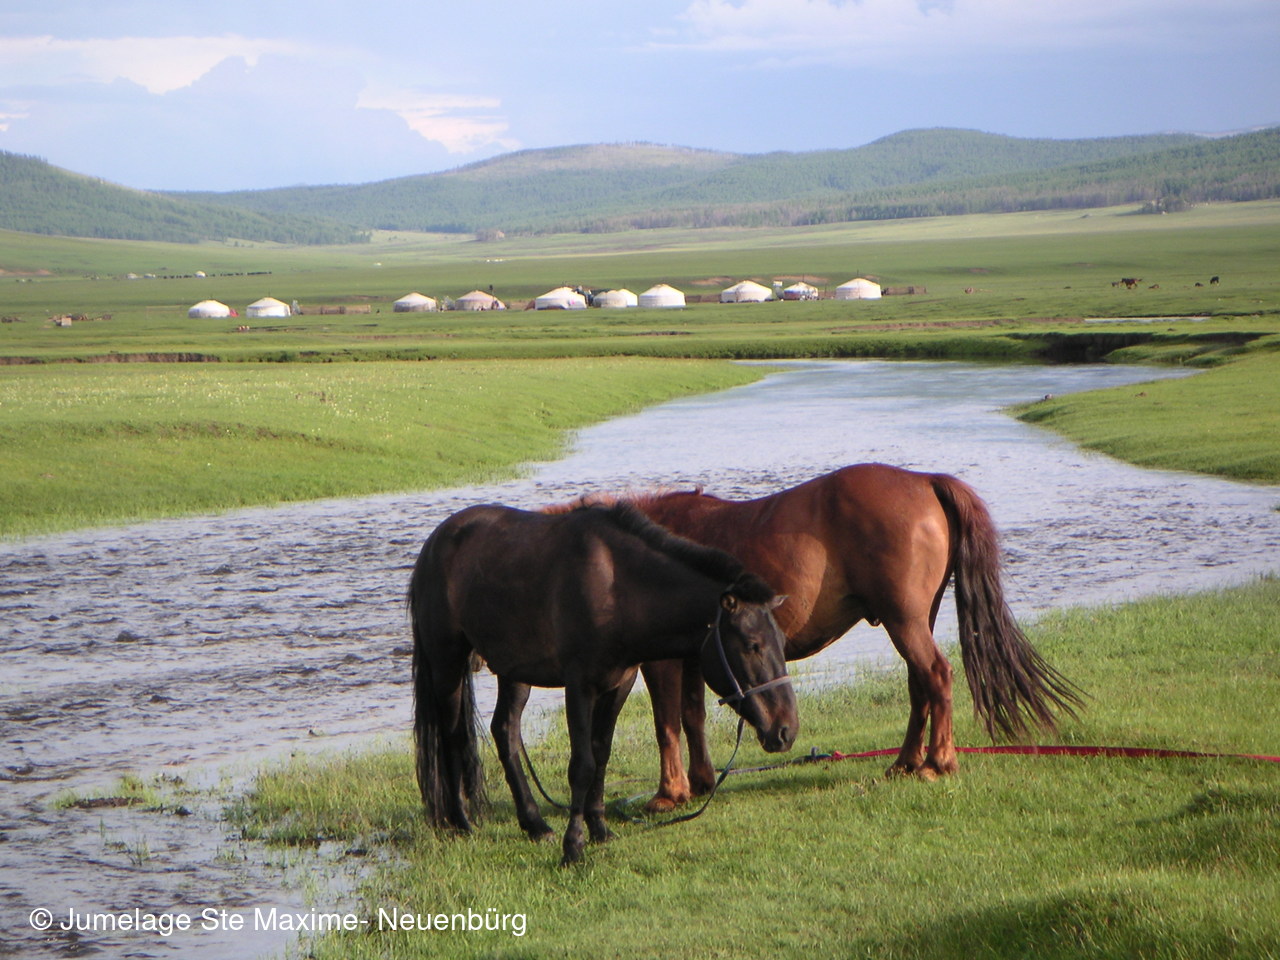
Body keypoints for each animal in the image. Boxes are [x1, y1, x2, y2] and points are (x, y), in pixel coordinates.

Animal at [409, 501, 798, 865]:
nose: (786, 731)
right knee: (452, 737)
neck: (615, 586)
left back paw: (534, 825)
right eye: (752, 645)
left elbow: (601, 755)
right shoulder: (580, 687)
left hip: (514, 671)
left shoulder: (618, 685)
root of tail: (436, 542)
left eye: (780, 641)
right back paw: (461, 822)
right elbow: (581, 766)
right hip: (447, 665)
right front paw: (573, 847)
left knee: (505, 731)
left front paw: (599, 828)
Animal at [551, 464, 1083, 812]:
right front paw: (700, 782)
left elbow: (667, 724)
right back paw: (906, 762)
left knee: (936, 675)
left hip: (905, 621)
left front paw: (669, 794)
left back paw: (938, 762)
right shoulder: (697, 657)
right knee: (920, 684)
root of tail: (924, 481)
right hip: (914, 620)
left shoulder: (663, 663)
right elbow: (692, 717)